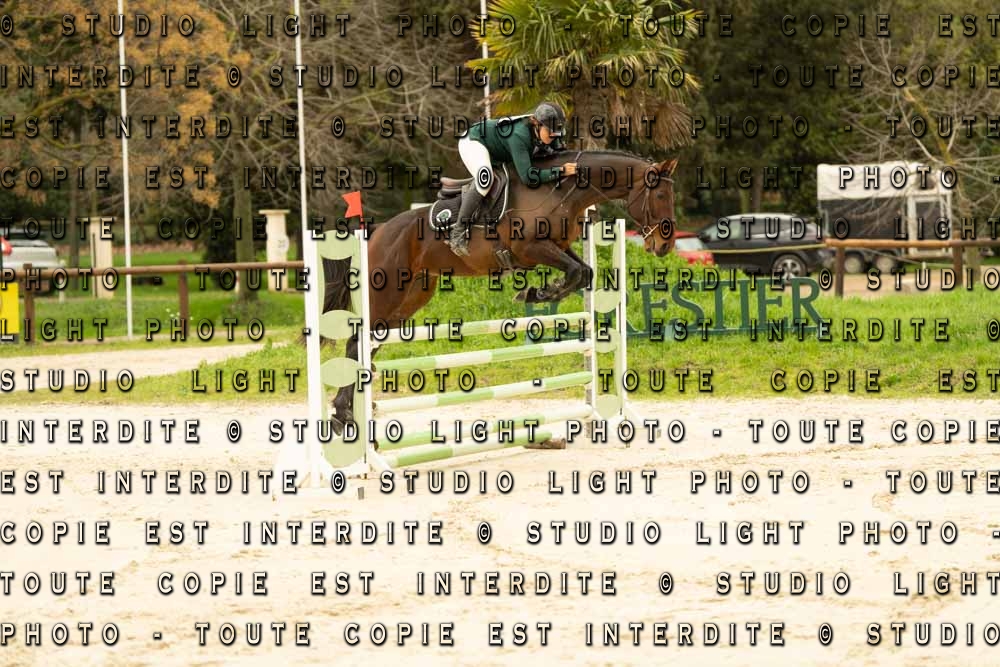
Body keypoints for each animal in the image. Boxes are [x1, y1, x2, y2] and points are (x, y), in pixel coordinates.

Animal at [322, 150, 679, 434]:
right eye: (661, 197)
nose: (664, 246)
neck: (560, 191)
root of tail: (377, 231)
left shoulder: (558, 247)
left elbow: (583, 272)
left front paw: (539, 292)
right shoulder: (532, 248)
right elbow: (577, 272)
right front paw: (536, 294)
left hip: (409, 298)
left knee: (369, 343)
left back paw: (347, 412)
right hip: (385, 292)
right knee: (357, 341)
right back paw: (342, 415)